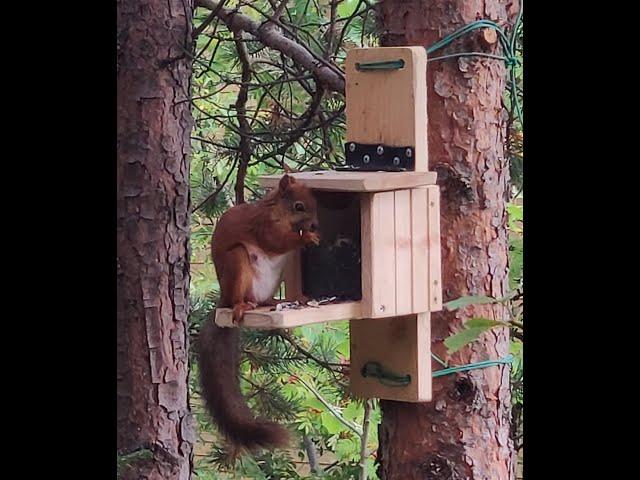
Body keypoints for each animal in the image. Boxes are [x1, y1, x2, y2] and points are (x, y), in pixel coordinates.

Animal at [198, 174, 320, 452]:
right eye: (299, 206)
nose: (316, 224)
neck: (277, 211)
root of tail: (223, 299)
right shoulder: (263, 227)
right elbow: (276, 242)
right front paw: (306, 238)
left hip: (276, 275)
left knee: (265, 298)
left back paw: (284, 299)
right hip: (237, 263)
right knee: (240, 298)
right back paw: (242, 306)